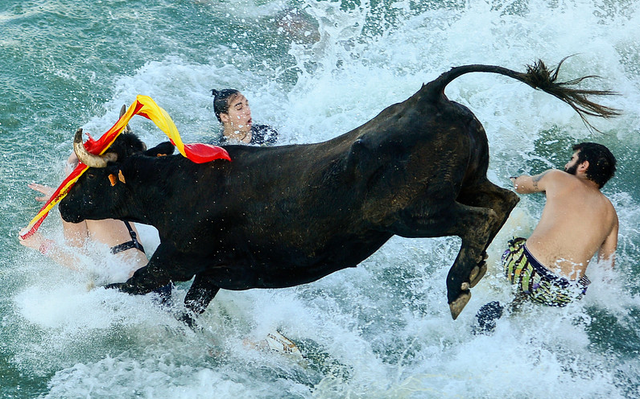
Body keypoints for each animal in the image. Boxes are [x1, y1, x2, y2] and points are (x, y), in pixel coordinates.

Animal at [58, 61, 616, 320]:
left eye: (87, 178)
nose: (62, 208)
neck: (177, 186)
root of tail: (427, 96)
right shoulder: (212, 274)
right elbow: (188, 311)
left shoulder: (176, 260)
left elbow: (128, 283)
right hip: (468, 181)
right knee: (504, 200)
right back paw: (469, 275)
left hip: (413, 213)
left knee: (477, 218)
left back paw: (458, 285)